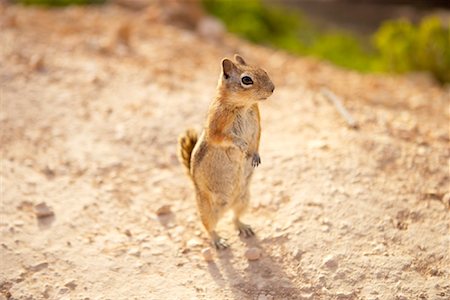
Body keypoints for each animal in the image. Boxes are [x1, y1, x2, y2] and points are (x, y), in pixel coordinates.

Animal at [178, 55, 274, 250]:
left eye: (264, 71)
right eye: (247, 80)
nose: (272, 88)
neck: (244, 105)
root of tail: (227, 206)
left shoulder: (258, 124)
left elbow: (257, 139)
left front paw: (255, 155)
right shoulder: (216, 125)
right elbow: (222, 138)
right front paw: (241, 144)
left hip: (244, 200)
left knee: (234, 218)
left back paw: (243, 227)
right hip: (207, 210)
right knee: (209, 227)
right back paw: (218, 240)